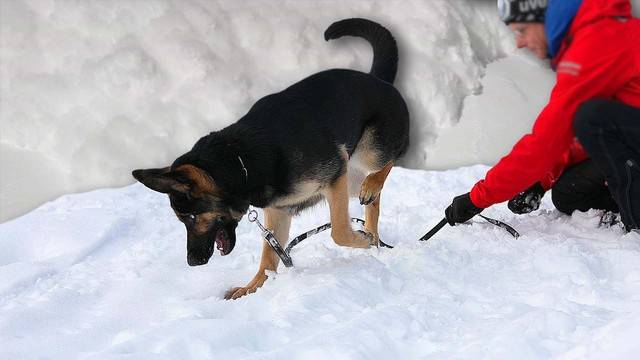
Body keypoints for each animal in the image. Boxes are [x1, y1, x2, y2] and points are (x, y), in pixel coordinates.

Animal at [132, 19, 410, 300]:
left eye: (189, 217)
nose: (192, 262)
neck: (240, 161)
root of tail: (377, 78)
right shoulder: (280, 210)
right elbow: (269, 256)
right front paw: (252, 287)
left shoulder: (334, 174)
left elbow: (339, 231)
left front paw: (362, 240)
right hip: (350, 181)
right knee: (373, 199)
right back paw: (374, 228)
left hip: (367, 153)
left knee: (387, 164)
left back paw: (372, 207)